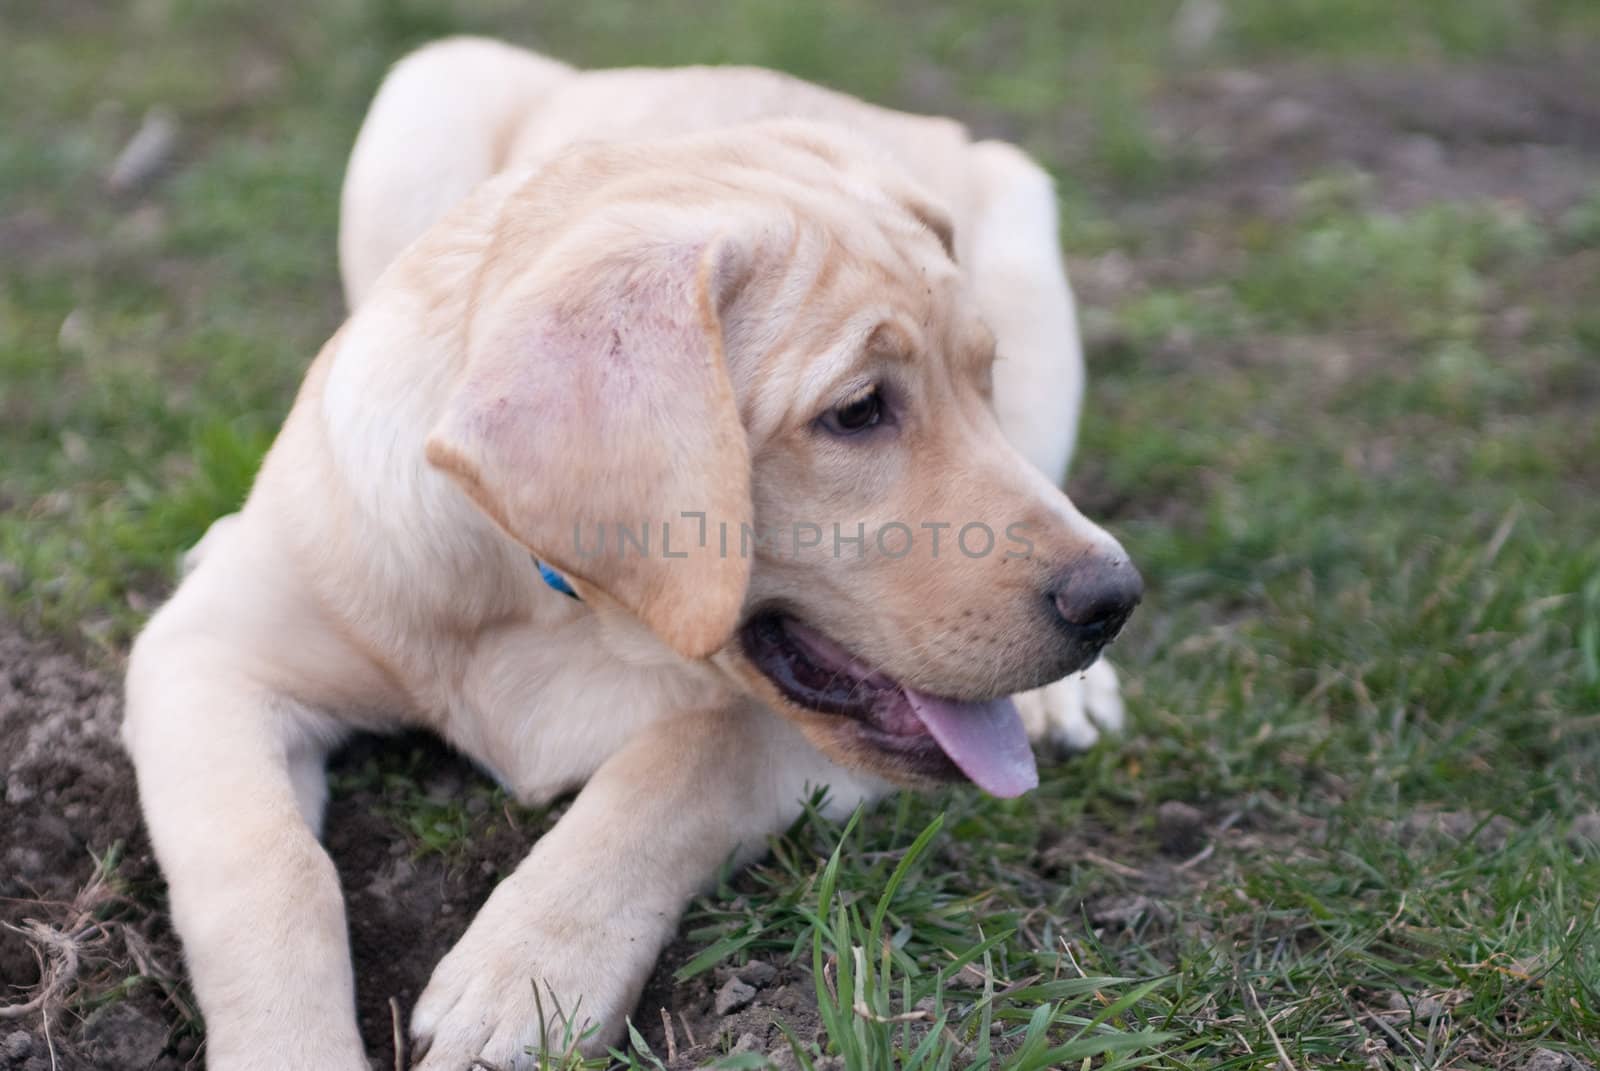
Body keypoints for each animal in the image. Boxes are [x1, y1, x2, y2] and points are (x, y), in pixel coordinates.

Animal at [121, 37, 1139, 1062]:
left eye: (982, 378)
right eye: (857, 411)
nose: (1115, 598)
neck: (554, 595)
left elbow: (685, 756)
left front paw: (526, 975)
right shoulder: (203, 660)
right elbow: (269, 866)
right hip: (427, 93)